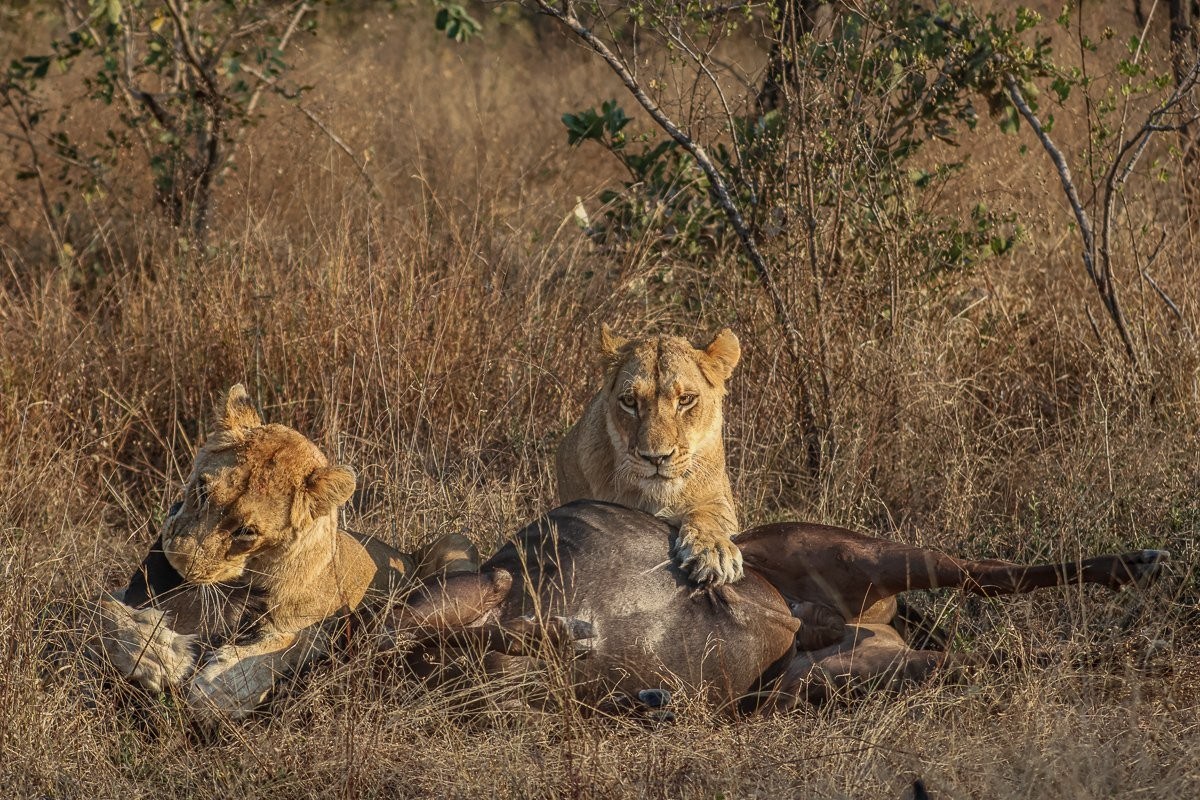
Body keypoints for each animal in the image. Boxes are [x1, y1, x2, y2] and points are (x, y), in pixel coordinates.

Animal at [93, 384, 477, 721]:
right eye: (202, 490)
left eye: (247, 532)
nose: (178, 561)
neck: (247, 573)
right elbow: (101, 608)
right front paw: (159, 656)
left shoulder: (322, 626)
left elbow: (284, 645)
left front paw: (222, 689)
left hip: (453, 540)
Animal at [555, 326, 743, 586]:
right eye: (629, 401)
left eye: (685, 399)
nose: (656, 458)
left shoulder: (718, 497)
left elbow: (709, 516)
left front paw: (714, 552)